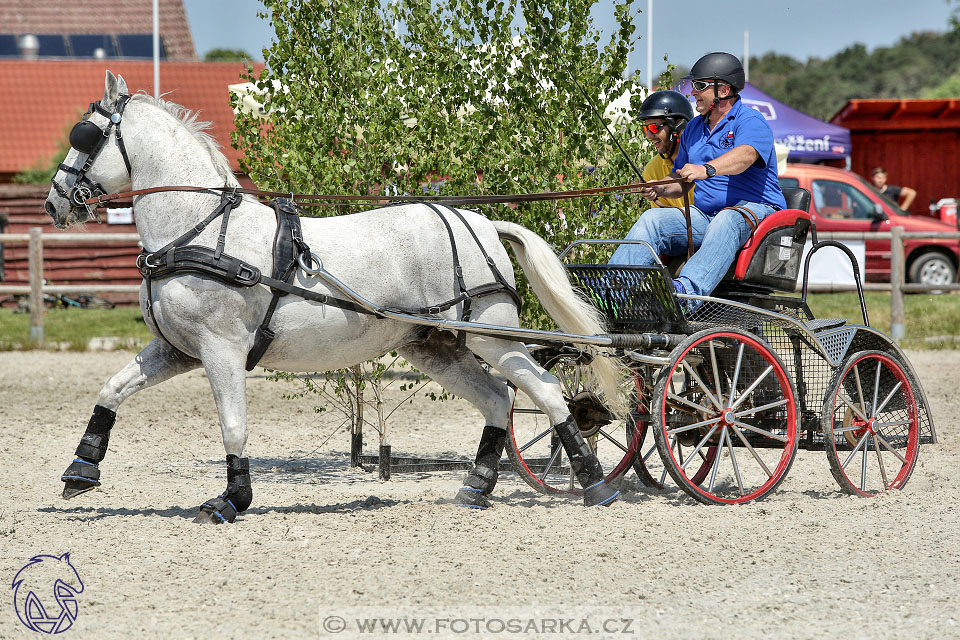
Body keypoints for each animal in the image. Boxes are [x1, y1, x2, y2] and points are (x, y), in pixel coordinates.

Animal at [47, 70, 624, 524]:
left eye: (85, 134)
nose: (55, 203)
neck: (200, 229)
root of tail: (480, 221)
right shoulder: (178, 350)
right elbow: (112, 389)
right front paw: (80, 469)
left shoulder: (220, 349)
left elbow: (233, 425)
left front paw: (232, 499)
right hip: (434, 345)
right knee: (498, 399)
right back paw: (476, 487)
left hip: (491, 333)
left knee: (545, 389)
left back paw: (596, 482)